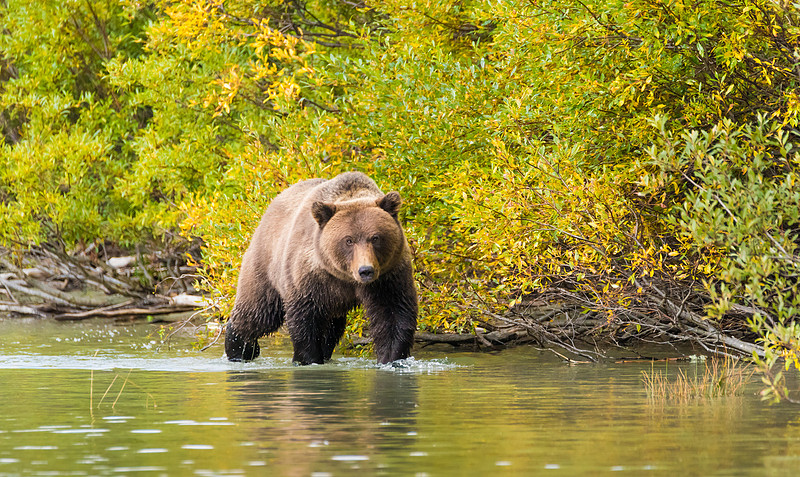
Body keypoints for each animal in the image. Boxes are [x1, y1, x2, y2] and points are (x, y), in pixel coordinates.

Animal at [224, 171, 418, 365]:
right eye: (348, 240)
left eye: (375, 237)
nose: (365, 270)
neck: (345, 277)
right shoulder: (310, 276)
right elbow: (305, 319)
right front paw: (308, 359)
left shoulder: (388, 277)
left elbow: (393, 315)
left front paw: (392, 359)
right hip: (266, 265)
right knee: (258, 312)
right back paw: (239, 348)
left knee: (331, 328)